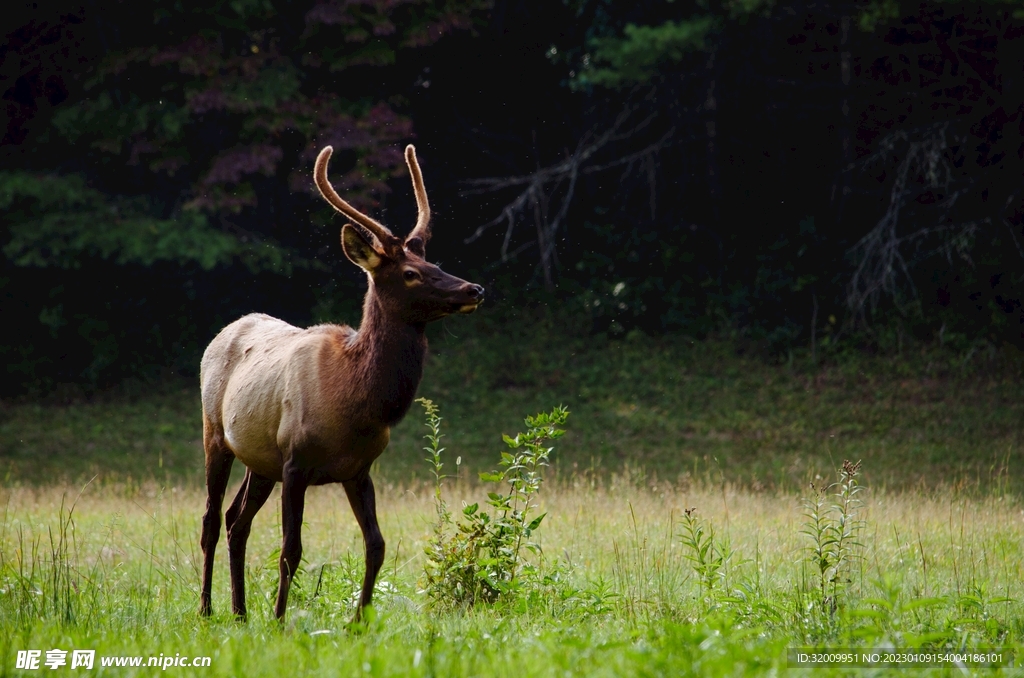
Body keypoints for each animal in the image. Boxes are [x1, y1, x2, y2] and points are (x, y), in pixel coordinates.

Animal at [198, 144, 484, 622]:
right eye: (409, 273)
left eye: (433, 263)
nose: (473, 289)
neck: (355, 403)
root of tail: (224, 331)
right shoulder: (295, 461)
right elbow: (290, 550)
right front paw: (279, 619)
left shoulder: (359, 469)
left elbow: (377, 546)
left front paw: (360, 620)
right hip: (215, 433)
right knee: (211, 521)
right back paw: (206, 608)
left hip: (260, 460)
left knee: (238, 521)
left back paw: (239, 612)